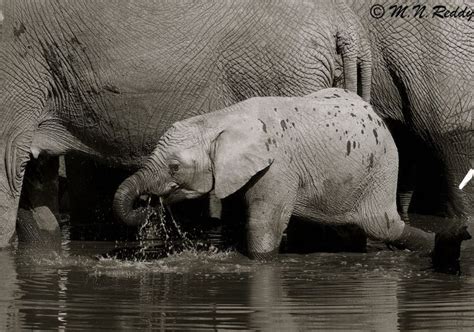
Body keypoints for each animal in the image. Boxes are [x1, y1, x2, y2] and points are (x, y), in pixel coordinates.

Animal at [114, 89, 434, 260]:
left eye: (175, 167)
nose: (146, 204)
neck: (221, 118)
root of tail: (376, 115)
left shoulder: (277, 167)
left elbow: (264, 225)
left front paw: (258, 259)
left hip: (382, 169)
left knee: (382, 226)